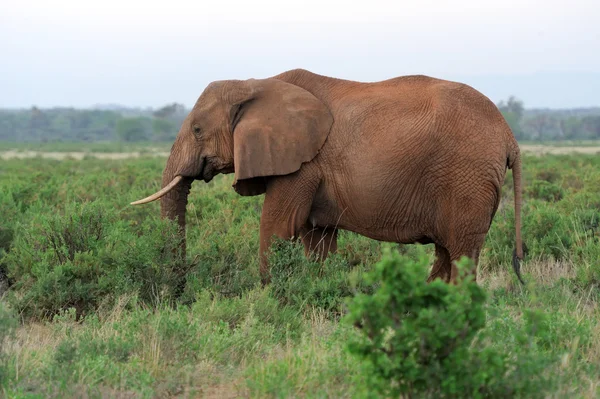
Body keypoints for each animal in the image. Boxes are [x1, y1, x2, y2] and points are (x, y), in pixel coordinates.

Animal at [132, 70, 524, 286]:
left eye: (197, 130)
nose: (179, 292)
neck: (254, 84)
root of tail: (510, 137)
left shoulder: (301, 163)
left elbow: (277, 226)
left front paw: (268, 299)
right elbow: (316, 238)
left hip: (467, 179)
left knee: (460, 253)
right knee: (447, 251)